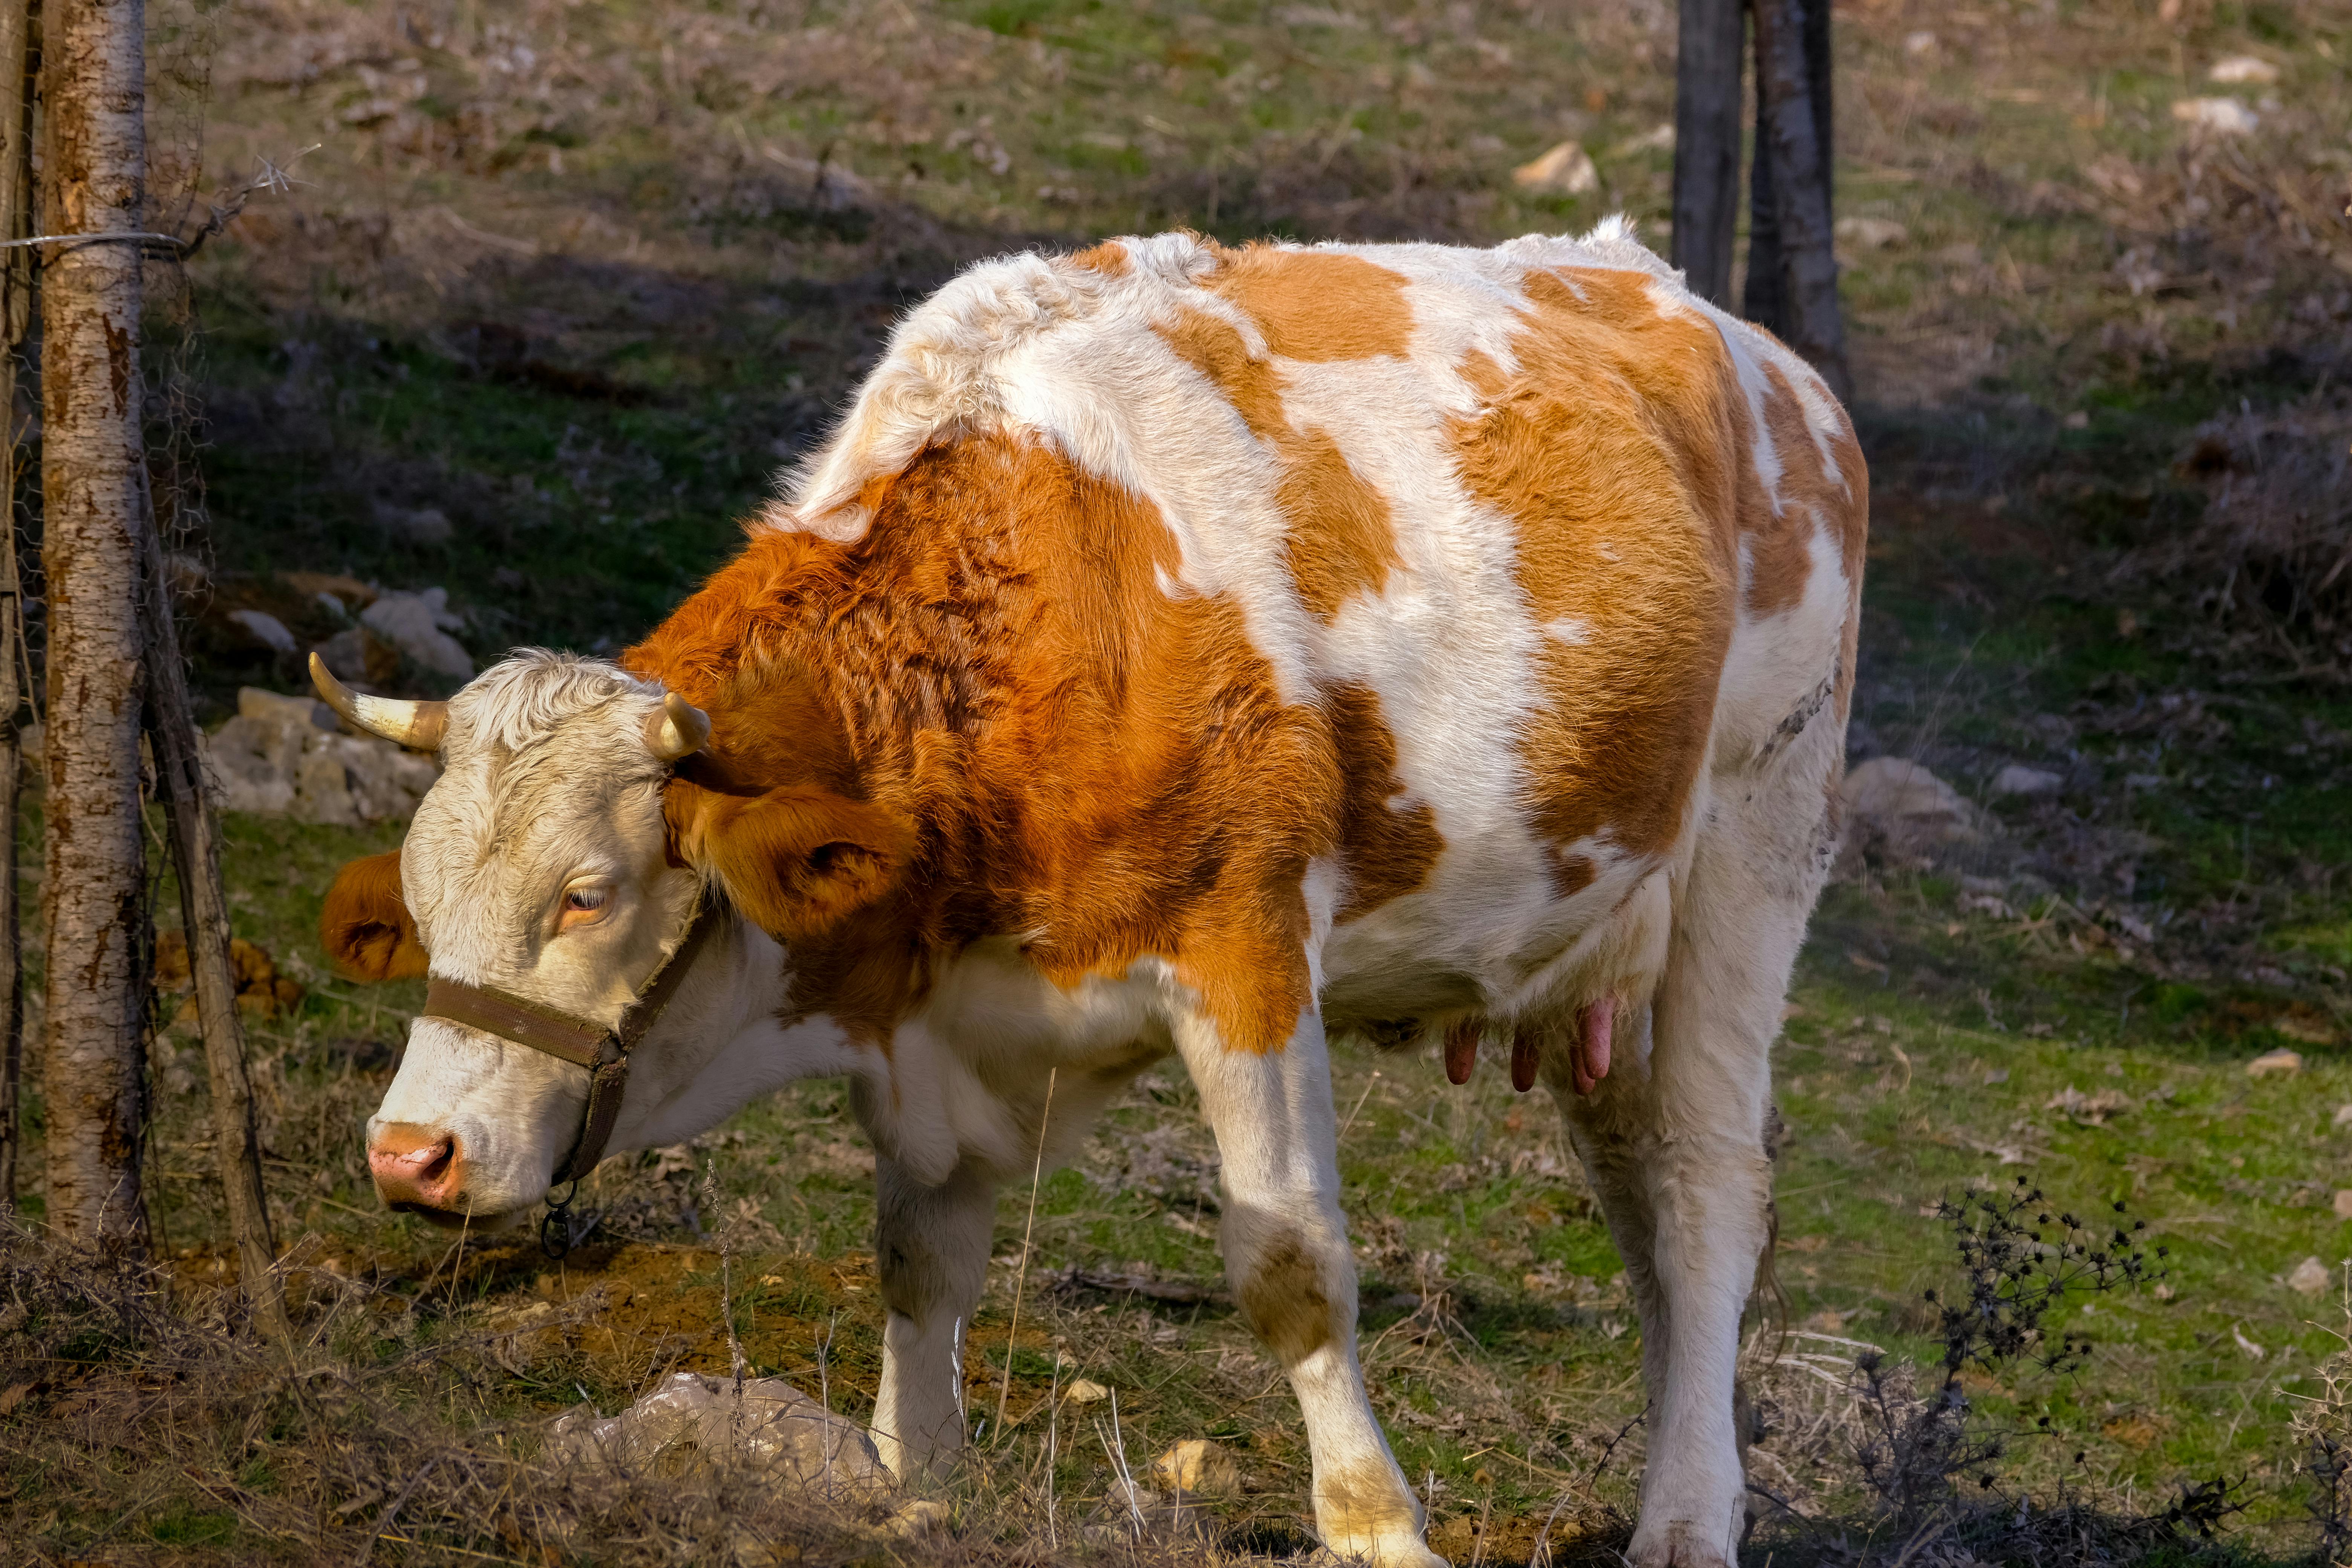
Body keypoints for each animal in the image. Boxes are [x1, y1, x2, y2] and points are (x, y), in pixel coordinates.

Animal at [319, 219, 1864, 1568]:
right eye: (425, 905)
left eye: (588, 895)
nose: (410, 1157)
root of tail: (1728, 332)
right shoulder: (933, 1027)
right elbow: (917, 1258)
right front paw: (919, 1486)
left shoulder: (1244, 945)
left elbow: (1289, 1262)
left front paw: (1375, 1524)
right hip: (1601, 948)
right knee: (1640, 1208)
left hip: (1755, 841)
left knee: (1703, 1194)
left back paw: (1687, 1523)